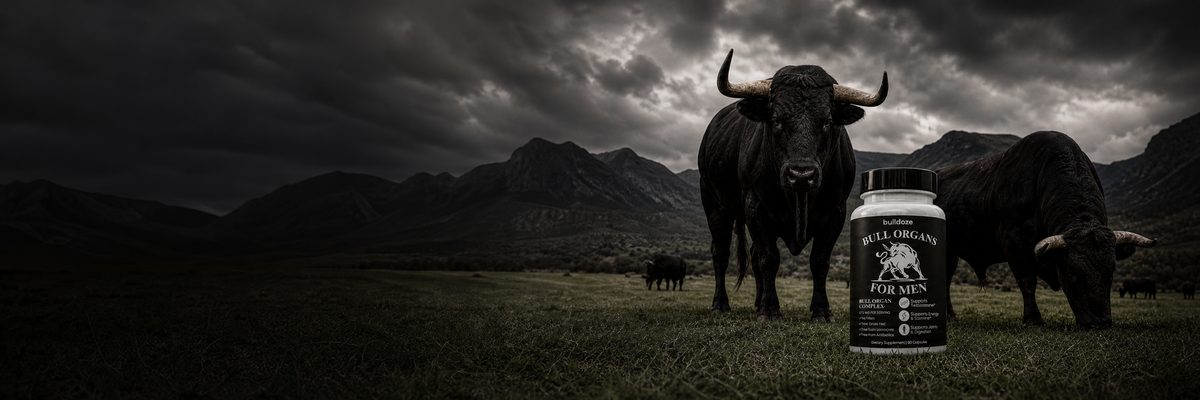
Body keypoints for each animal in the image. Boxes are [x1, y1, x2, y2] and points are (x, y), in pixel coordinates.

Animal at [698, 49, 887, 321]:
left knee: (752, 257)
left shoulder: (836, 211)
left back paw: (756, 301)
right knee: (721, 253)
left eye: (827, 121)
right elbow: (769, 259)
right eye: (776, 120)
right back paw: (721, 304)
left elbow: (819, 262)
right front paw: (770, 310)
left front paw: (821, 311)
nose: (801, 175)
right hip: (714, 204)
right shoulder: (755, 205)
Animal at [936, 131, 1157, 329]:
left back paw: (950, 317)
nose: (1100, 323)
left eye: (1111, 271)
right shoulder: (1014, 240)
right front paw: (1034, 320)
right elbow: (1027, 281)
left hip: (950, 253)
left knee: (945, 281)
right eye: (1072, 273)